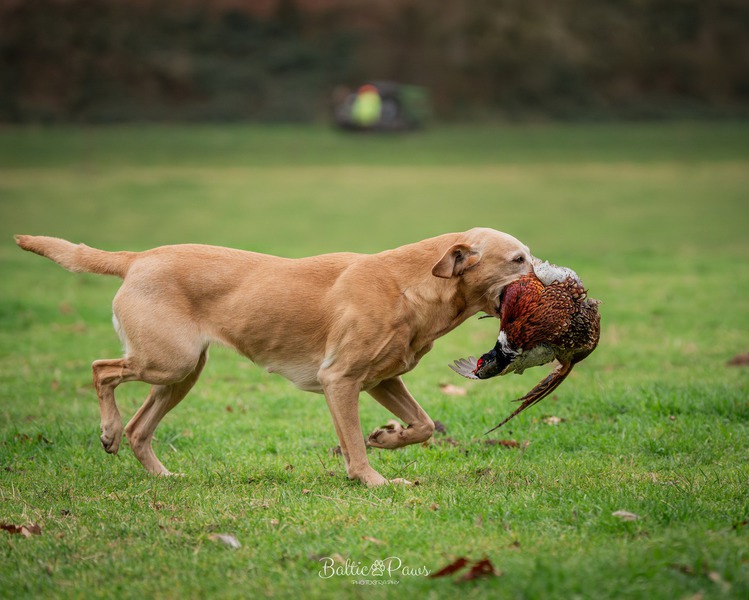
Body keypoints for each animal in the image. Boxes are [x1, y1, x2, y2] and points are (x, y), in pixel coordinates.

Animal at [15, 228, 532, 486]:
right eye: (518, 259)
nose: (550, 278)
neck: (411, 284)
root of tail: (137, 257)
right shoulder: (339, 380)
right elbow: (355, 445)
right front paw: (372, 480)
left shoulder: (382, 380)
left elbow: (422, 425)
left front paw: (388, 437)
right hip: (167, 361)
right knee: (101, 371)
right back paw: (106, 430)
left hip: (183, 373)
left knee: (139, 429)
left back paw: (164, 476)